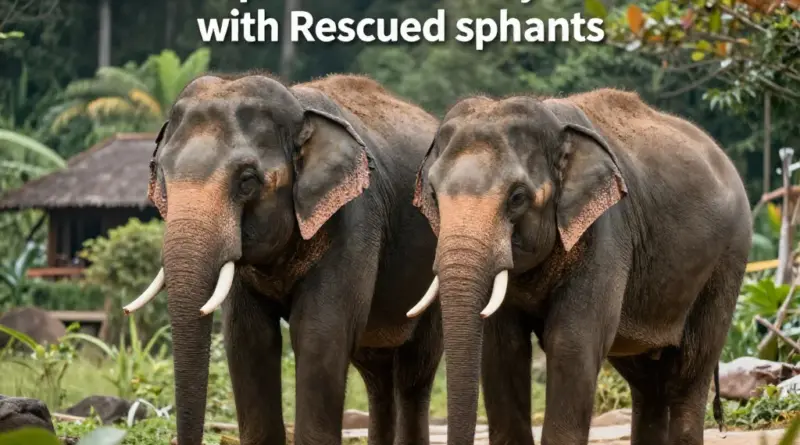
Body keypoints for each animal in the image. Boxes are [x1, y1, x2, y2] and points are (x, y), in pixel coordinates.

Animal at [123, 73, 443, 445]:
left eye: (247, 181)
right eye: (162, 174)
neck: (300, 110)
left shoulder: (354, 217)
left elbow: (319, 334)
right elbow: (248, 339)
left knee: (414, 371)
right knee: (376, 373)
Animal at [408, 88, 752, 445]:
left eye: (517, 197)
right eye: (433, 194)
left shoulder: (605, 232)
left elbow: (571, 343)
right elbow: (504, 349)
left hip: (728, 260)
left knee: (690, 370)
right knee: (647, 382)